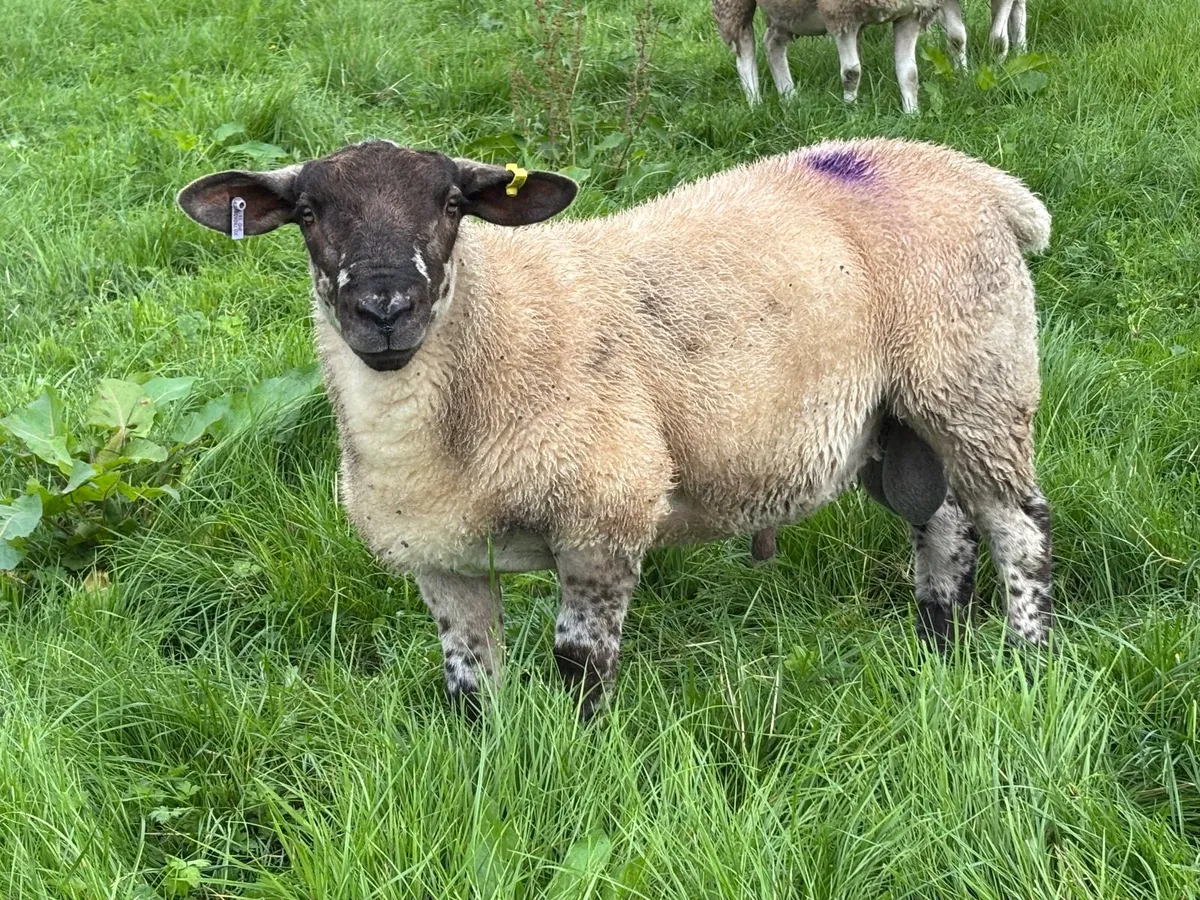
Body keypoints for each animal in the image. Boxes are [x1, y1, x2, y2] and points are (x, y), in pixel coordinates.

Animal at [177, 136, 1054, 719]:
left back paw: (1029, 657)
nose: (385, 308)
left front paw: (579, 756)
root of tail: (984, 179)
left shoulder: (605, 511)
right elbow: (469, 681)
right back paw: (936, 644)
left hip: (977, 380)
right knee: (943, 523)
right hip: (900, 416)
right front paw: (488, 766)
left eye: (453, 206)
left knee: (1017, 526)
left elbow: (579, 662)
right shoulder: (441, 558)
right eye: (309, 212)